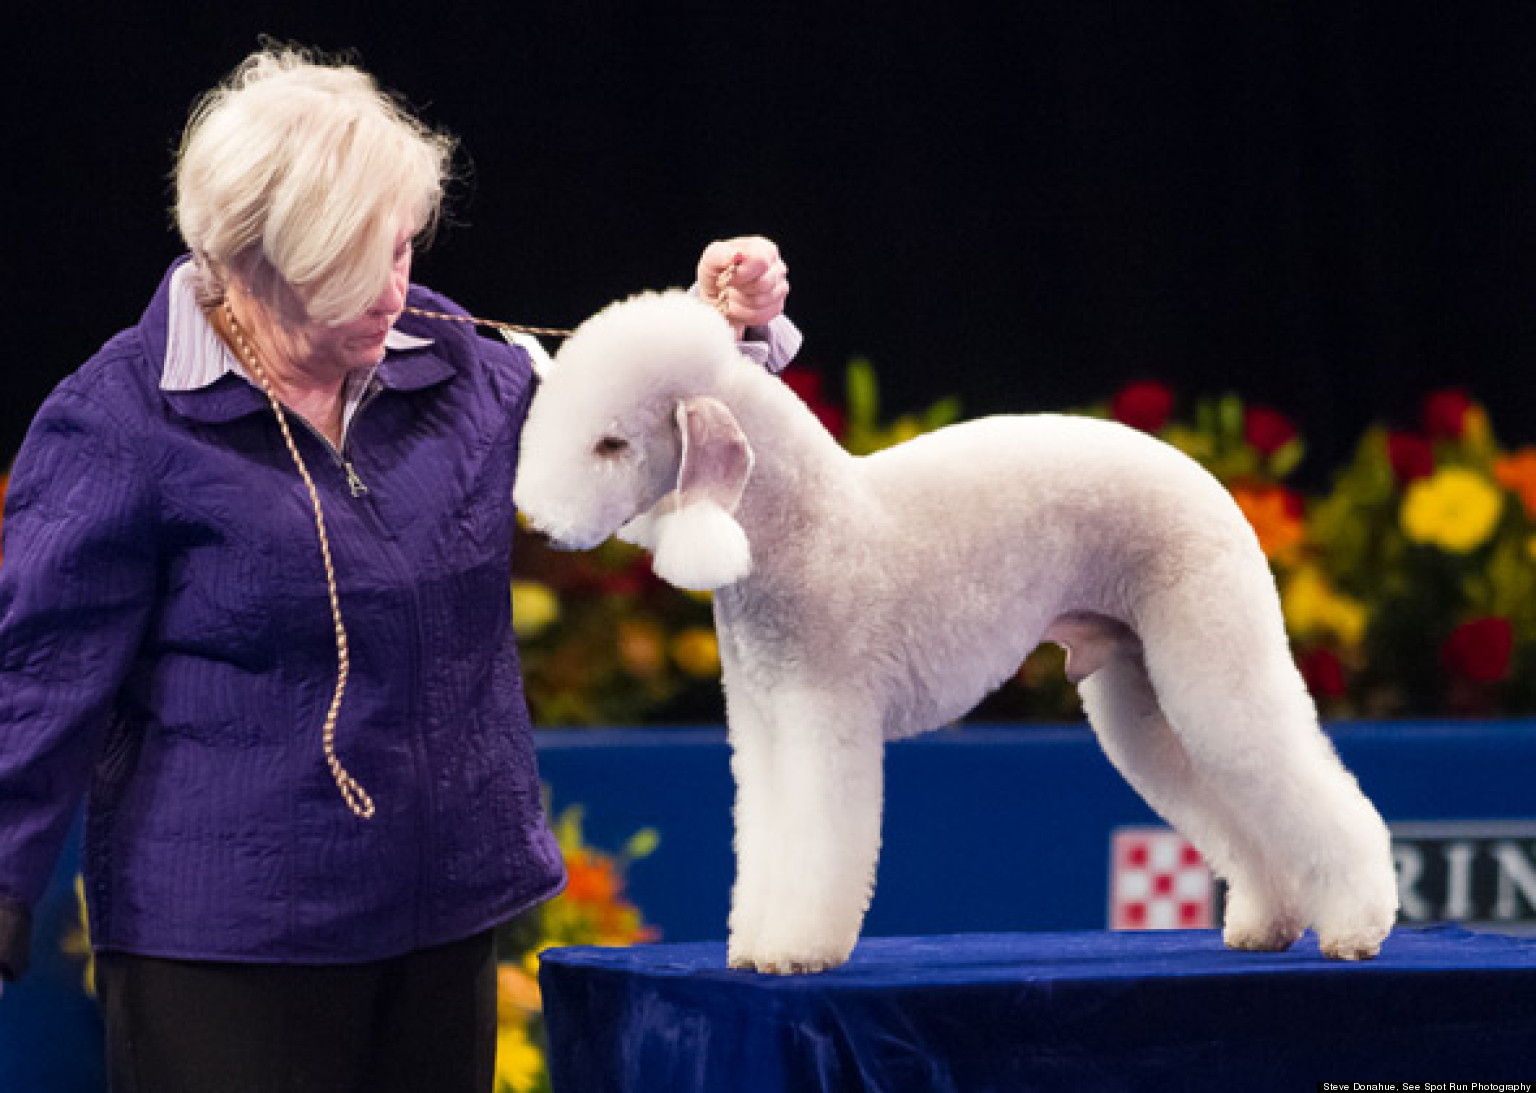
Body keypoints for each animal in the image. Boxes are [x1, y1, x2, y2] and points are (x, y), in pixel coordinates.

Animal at [509, 290, 1400, 976]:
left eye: (612, 442)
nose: (539, 524)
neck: (801, 525)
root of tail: (1210, 482)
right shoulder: (764, 728)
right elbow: (767, 835)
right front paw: (755, 942)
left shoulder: (824, 717)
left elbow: (818, 841)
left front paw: (794, 949)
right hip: (1144, 692)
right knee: (1231, 802)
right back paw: (1270, 919)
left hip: (1211, 654)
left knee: (1300, 781)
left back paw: (1357, 925)